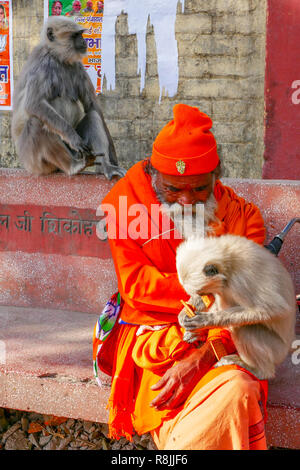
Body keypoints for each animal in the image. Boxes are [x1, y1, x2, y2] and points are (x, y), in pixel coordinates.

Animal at [11, 15, 125, 179]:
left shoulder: (77, 66)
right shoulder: (42, 64)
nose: (84, 41)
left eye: (81, 34)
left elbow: (92, 106)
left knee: (93, 116)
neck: (57, 58)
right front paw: (73, 138)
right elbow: (34, 104)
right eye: (75, 35)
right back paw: (73, 166)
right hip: (34, 162)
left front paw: (113, 158)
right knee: (35, 123)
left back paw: (105, 166)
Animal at [176, 233, 296, 380]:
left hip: (276, 350)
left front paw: (204, 321)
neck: (229, 259)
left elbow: (274, 310)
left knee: (244, 328)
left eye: (202, 292)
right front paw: (184, 316)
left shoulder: (240, 280)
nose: (203, 295)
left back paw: (259, 371)